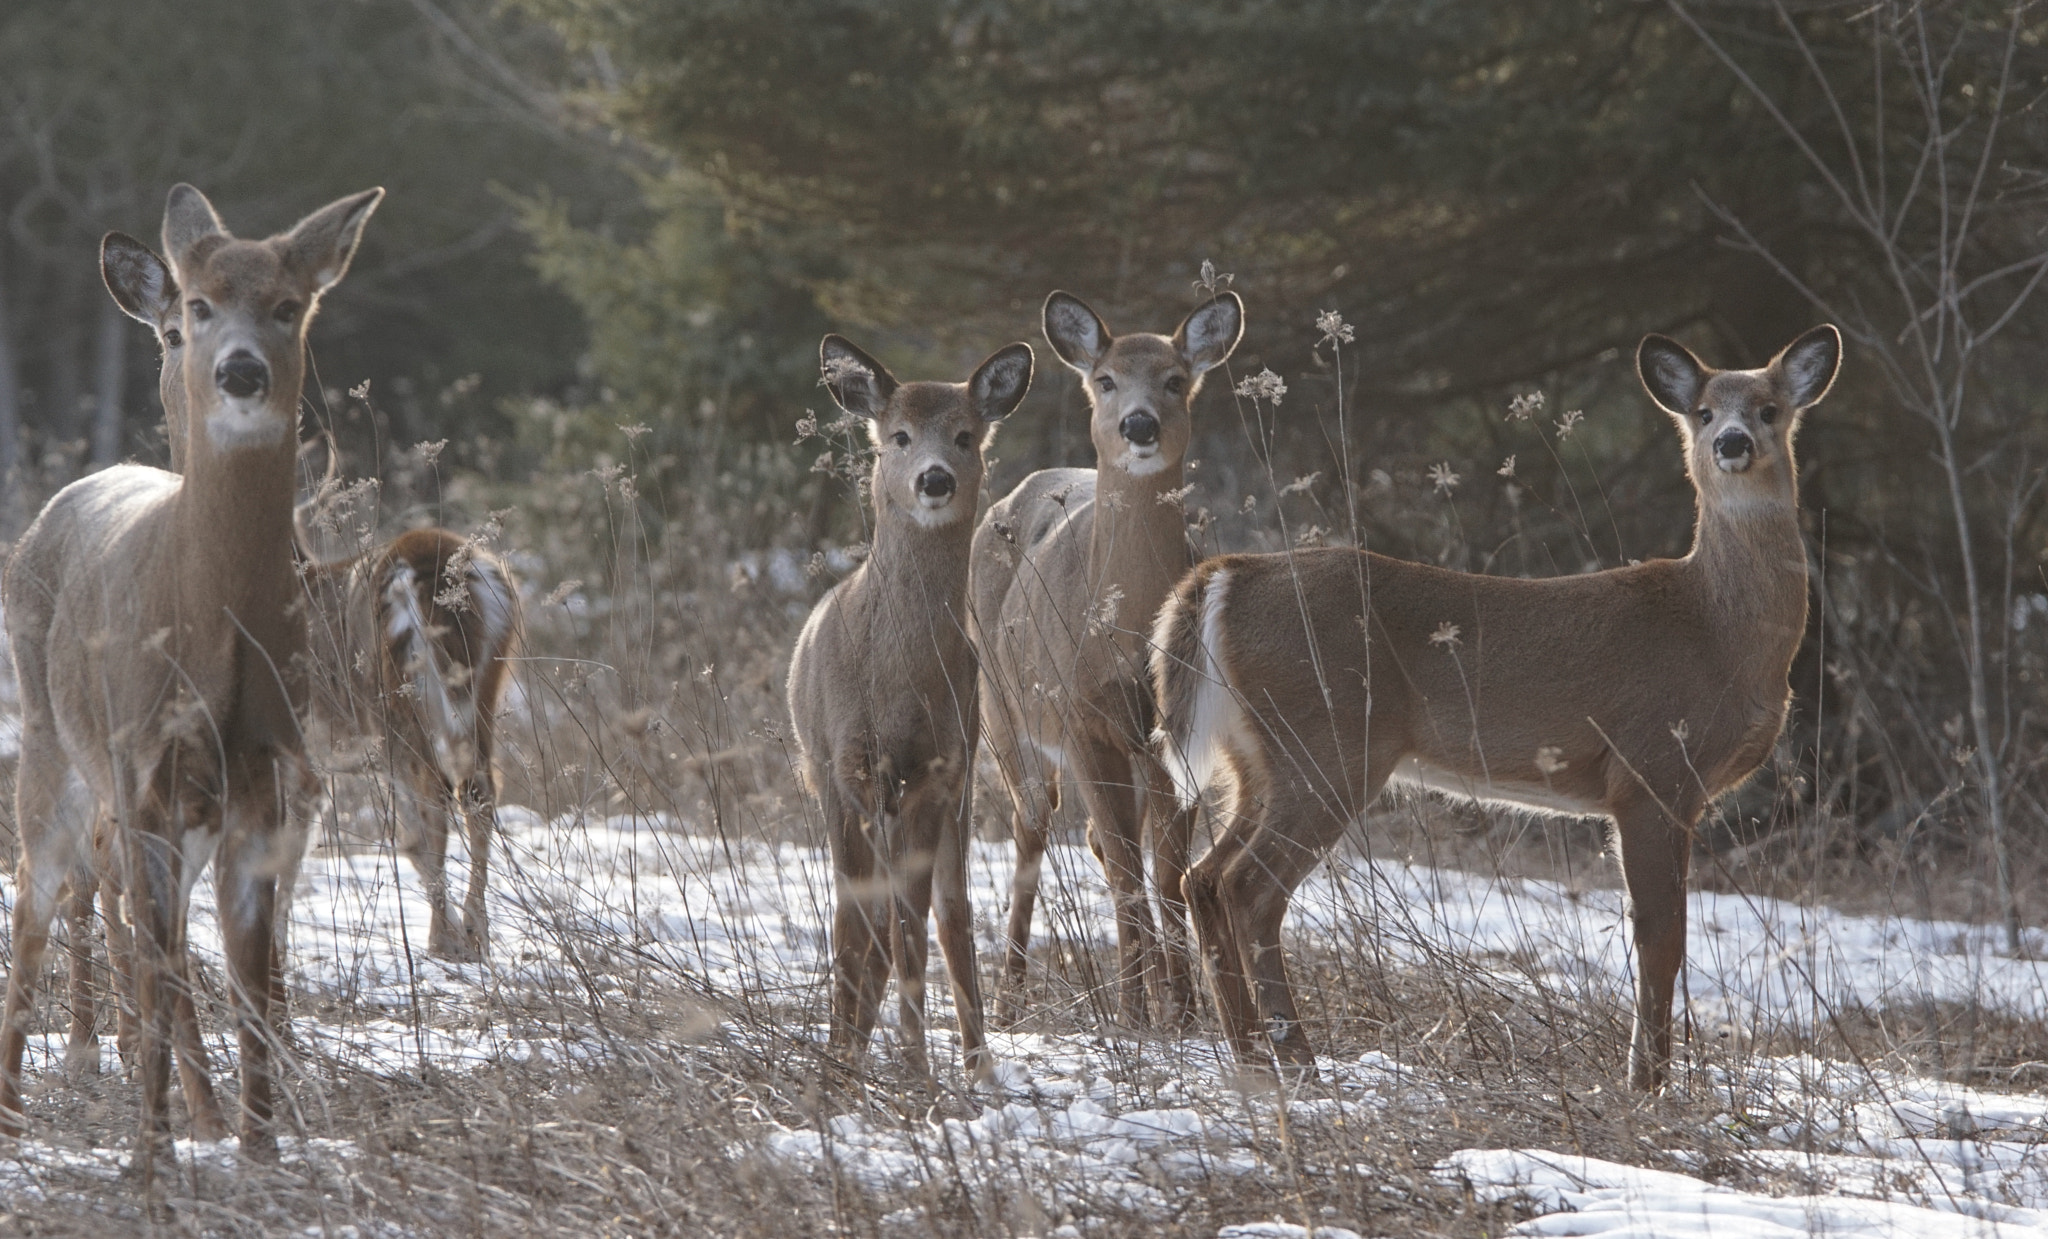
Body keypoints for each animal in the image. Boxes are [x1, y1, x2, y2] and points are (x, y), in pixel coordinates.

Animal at [3, 183, 385, 1163]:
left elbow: (252, 972)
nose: (241, 372)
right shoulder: (145, 777)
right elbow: (163, 954)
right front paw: (160, 1147)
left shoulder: (273, 784)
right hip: (54, 745)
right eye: (193, 312)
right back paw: (22, 1108)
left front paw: (256, 1146)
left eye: (288, 306)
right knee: (39, 893)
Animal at [786, 333, 1040, 1081]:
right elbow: (855, 926)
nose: (934, 479)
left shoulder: (935, 772)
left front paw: (913, 1063)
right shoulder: (846, 769)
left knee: (949, 912)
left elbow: (910, 926)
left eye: (965, 435)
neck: (896, 681)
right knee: (870, 916)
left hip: (961, 787)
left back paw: (976, 1063)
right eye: (897, 436)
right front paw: (844, 1054)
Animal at [974, 290, 1245, 1023]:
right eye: (1105, 379)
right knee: (1033, 829)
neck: (1124, 637)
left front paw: (1181, 1008)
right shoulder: (1081, 720)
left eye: (1176, 379)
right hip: (999, 706)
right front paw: (1135, 1011)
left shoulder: (1172, 731)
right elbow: (1128, 869)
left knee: (1100, 839)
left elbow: (1167, 869)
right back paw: (1007, 997)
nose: (1139, 424)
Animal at [1155, 325, 1843, 1081]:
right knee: (1248, 886)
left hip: (1256, 758)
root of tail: (1227, 576)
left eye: (1770, 408)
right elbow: (1662, 937)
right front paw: (1648, 1081)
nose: (1733, 443)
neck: (1719, 633)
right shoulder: (1650, 771)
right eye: (1704, 412)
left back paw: (1251, 1053)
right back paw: (1295, 1056)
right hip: (1328, 743)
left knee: (1203, 877)